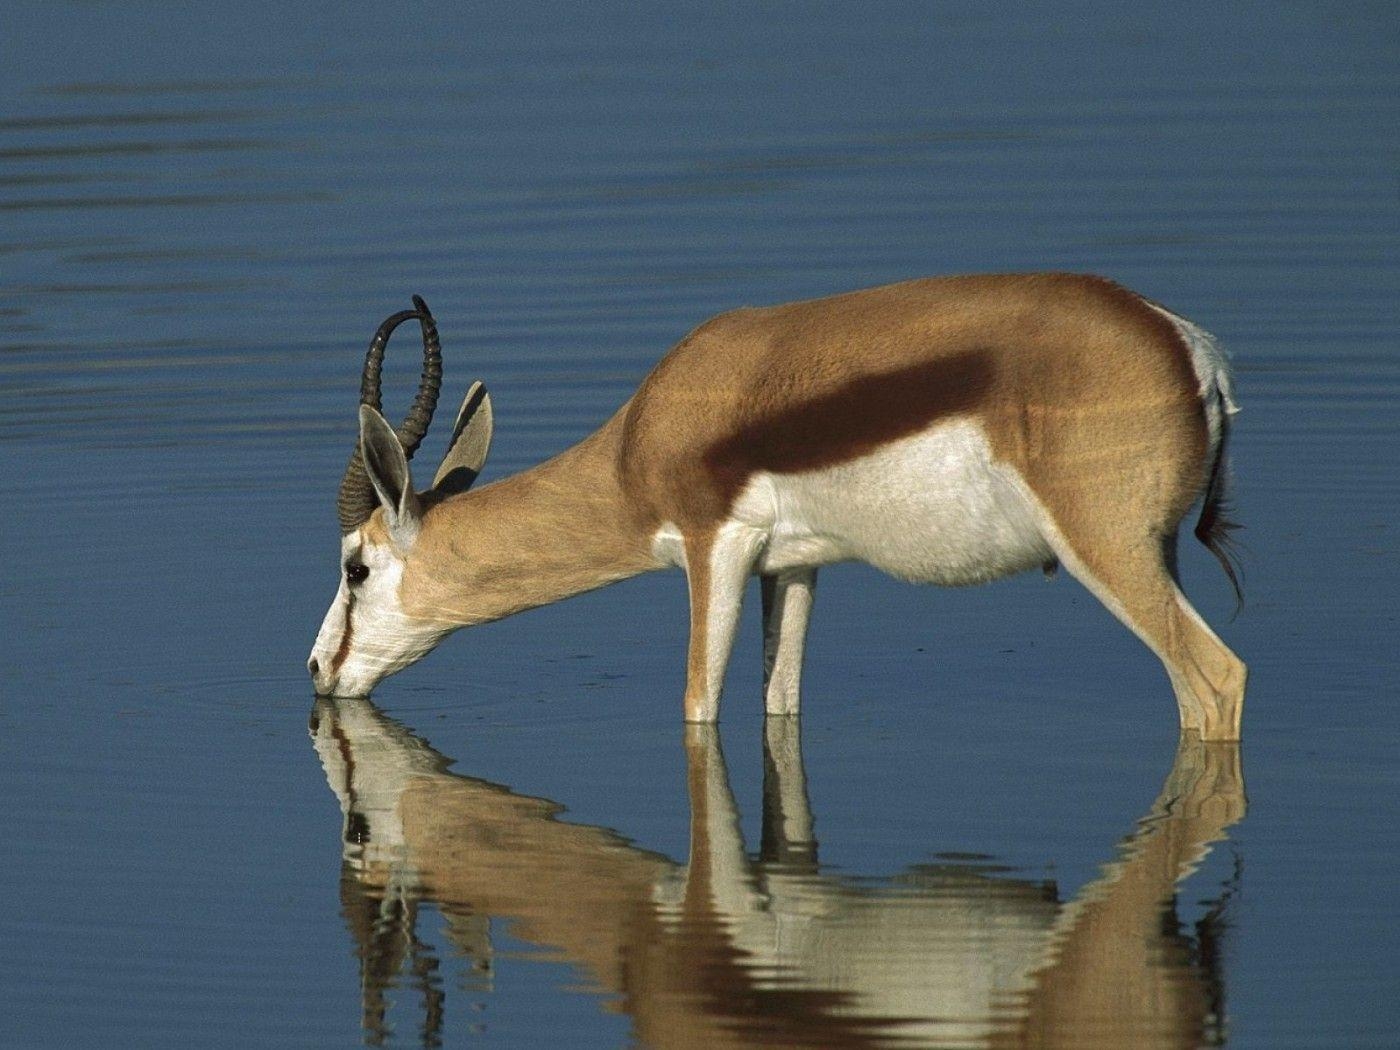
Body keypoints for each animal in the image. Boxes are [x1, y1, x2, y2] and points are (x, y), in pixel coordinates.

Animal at [309, 277, 1248, 739]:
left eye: (356, 567)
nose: (318, 672)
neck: (641, 441)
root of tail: (1191, 351)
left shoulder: (713, 549)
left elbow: (698, 707)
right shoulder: (793, 568)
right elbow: (780, 706)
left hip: (1109, 552)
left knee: (1216, 683)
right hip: (1150, 554)